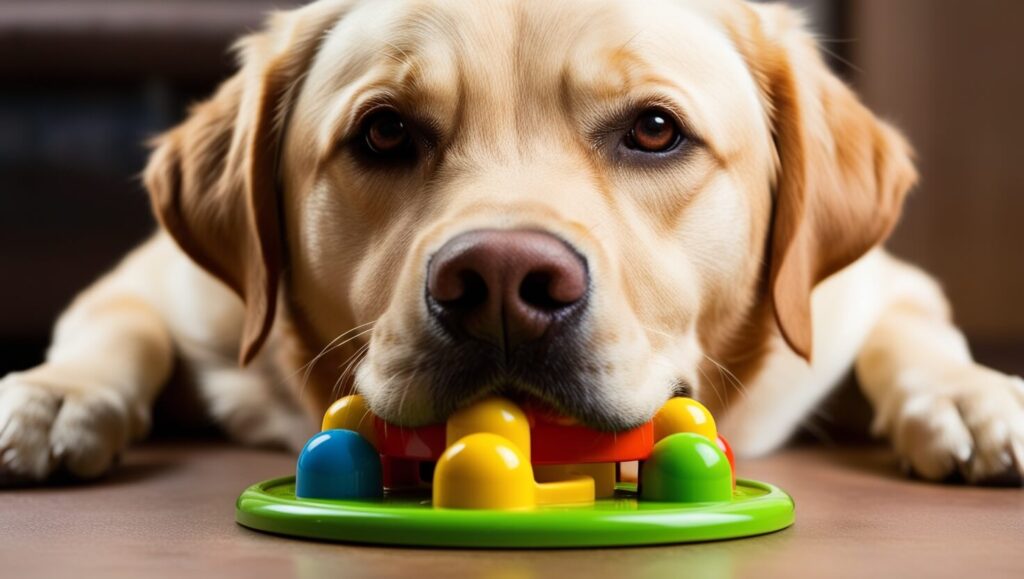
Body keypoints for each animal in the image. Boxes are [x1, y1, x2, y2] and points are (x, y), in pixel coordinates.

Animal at [2, 0, 1024, 485]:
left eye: (655, 129)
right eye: (383, 132)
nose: (500, 282)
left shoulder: (870, 290)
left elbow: (918, 334)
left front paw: (974, 401)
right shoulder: (157, 281)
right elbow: (115, 325)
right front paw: (54, 397)